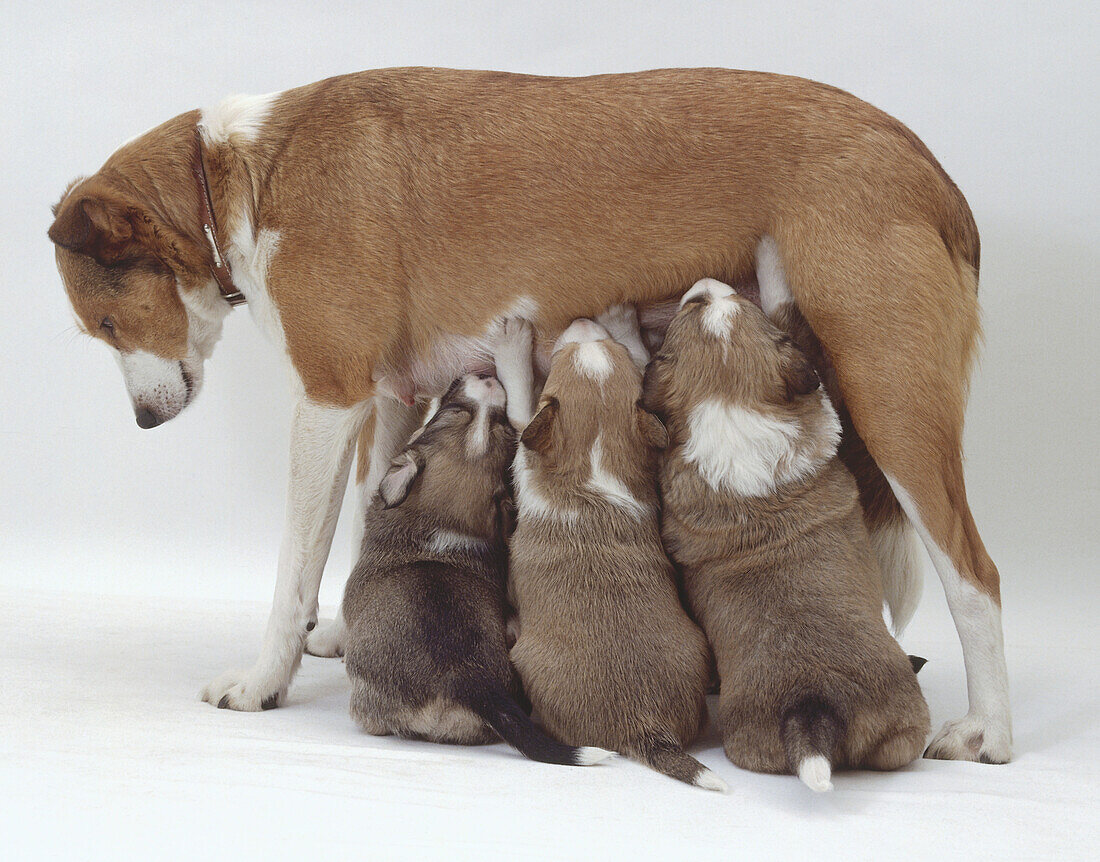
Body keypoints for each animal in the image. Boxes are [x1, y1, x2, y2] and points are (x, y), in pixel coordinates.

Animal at [343, 369, 611, 769]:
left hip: (369, 697)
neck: (444, 523)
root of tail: (471, 678)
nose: (487, 377)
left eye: (447, 411)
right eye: (502, 426)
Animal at [503, 312, 721, 791]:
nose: (585, 321)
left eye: (560, 358)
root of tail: (643, 725)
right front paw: (623, 320)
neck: (596, 462)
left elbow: (518, 405)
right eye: (616, 349)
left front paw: (511, 344)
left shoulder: (524, 442)